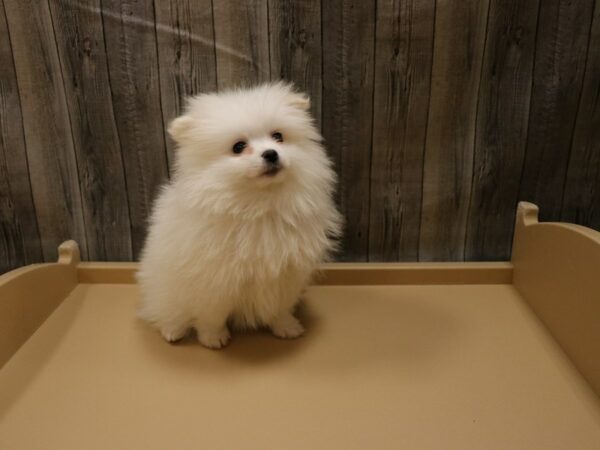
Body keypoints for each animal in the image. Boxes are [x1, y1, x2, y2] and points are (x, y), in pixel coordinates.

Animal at [137, 83, 342, 348]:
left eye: (278, 136)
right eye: (238, 147)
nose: (271, 153)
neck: (258, 204)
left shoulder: (285, 275)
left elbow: (280, 307)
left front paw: (286, 326)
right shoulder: (212, 281)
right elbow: (211, 315)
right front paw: (212, 337)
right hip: (165, 287)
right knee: (167, 309)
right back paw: (172, 330)